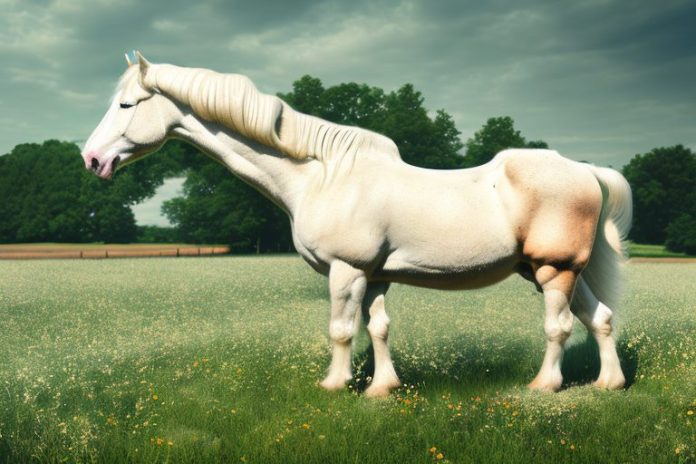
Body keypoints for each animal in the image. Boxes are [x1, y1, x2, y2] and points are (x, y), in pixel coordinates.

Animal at [82, 51, 632, 397]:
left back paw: (545, 385)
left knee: (560, 327)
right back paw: (609, 384)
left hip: (553, 271)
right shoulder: (375, 275)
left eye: (127, 104)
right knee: (600, 318)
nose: (91, 159)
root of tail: (585, 170)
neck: (321, 176)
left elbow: (342, 330)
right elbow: (379, 329)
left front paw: (334, 385)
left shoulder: (345, 271)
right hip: (559, 272)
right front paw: (381, 388)